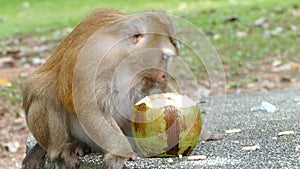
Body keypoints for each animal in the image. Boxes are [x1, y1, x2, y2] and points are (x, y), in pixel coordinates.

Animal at [22, 7, 180, 169]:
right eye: (163, 57)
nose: (163, 75)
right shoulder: (94, 62)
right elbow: (90, 108)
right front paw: (119, 154)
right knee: (45, 98)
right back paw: (65, 147)